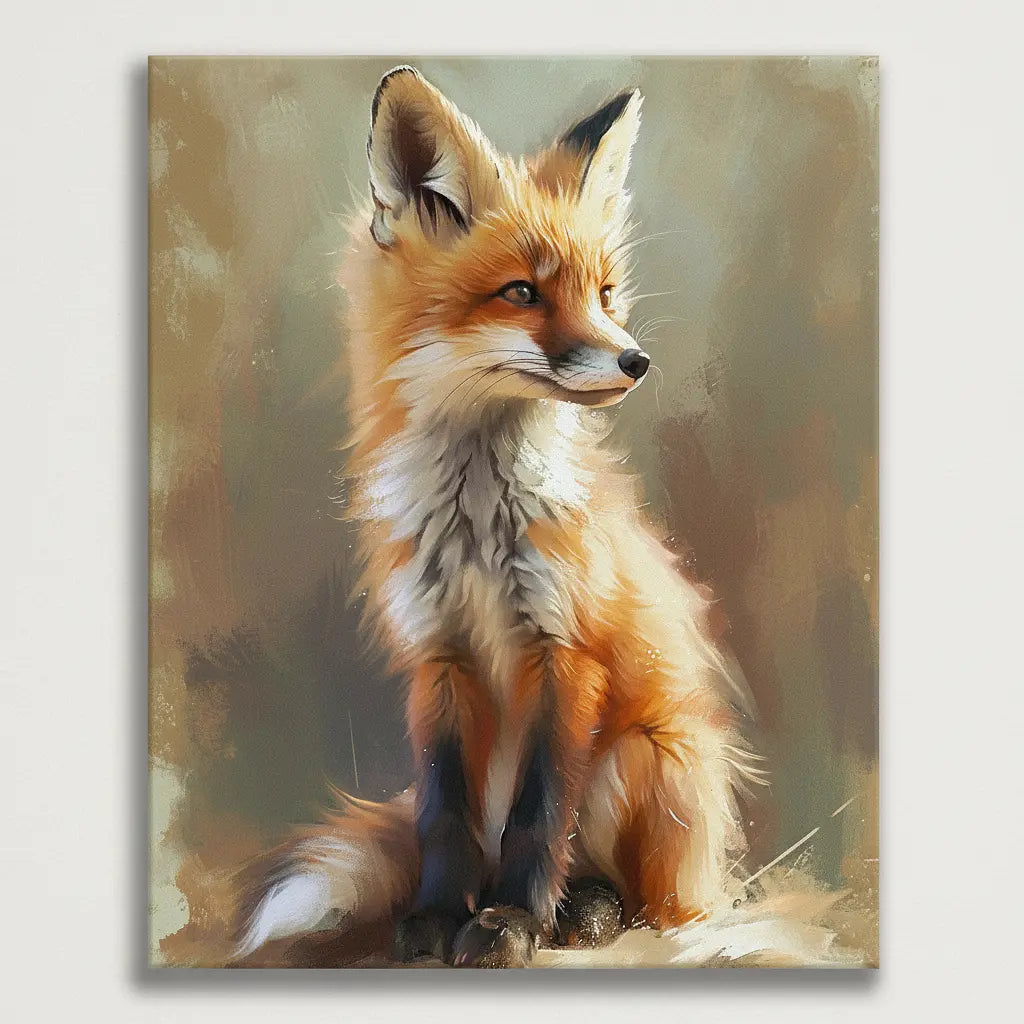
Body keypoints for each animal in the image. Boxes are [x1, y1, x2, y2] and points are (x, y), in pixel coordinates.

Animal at [233, 66, 765, 968]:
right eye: (522, 293)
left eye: (605, 293)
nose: (636, 360)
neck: (479, 531)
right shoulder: (439, 658)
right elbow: (442, 816)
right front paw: (437, 919)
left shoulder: (567, 652)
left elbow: (540, 815)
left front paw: (513, 921)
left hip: (641, 757)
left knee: (645, 898)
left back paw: (585, 912)